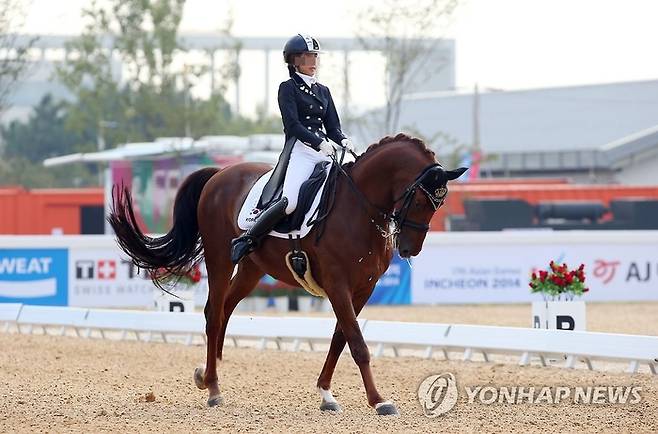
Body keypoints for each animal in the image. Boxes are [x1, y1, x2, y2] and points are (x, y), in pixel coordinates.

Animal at [109, 133, 466, 418]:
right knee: (213, 313)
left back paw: (206, 375)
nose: (409, 249)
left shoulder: (363, 288)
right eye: (419, 199)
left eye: (439, 203)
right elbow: (357, 343)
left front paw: (326, 395)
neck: (359, 208)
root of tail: (219, 174)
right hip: (219, 258)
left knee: (224, 310)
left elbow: (340, 338)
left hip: (252, 269)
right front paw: (379, 401)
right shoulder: (337, 284)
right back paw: (213, 390)